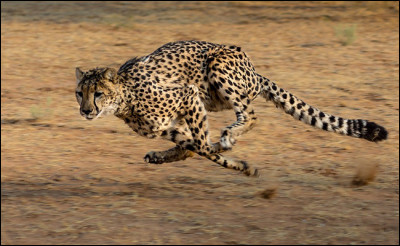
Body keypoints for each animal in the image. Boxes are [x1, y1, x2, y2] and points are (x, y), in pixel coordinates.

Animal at [74, 40, 388, 176]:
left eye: (98, 93)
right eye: (80, 93)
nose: (86, 111)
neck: (125, 98)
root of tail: (254, 70)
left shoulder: (187, 95)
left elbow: (202, 146)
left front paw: (237, 161)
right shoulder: (169, 126)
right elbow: (193, 147)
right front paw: (238, 164)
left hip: (218, 68)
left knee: (250, 115)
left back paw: (228, 136)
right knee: (196, 143)